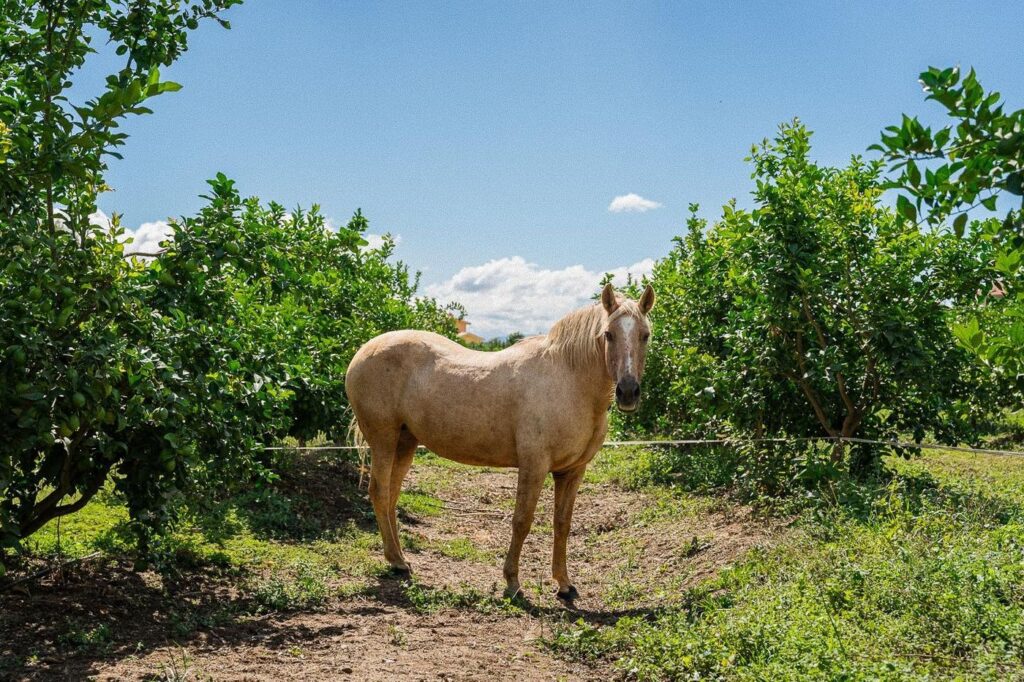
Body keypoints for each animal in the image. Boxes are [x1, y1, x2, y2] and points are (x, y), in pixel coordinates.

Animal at [345, 283, 655, 601]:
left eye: (645, 335)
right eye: (608, 334)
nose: (628, 392)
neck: (569, 380)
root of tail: (364, 351)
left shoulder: (572, 471)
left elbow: (562, 523)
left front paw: (564, 584)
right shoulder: (534, 466)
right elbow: (522, 520)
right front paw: (513, 583)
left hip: (405, 443)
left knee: (391, 496)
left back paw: (400, 560)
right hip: (383, 440)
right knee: (379, 492)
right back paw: (395, 561)